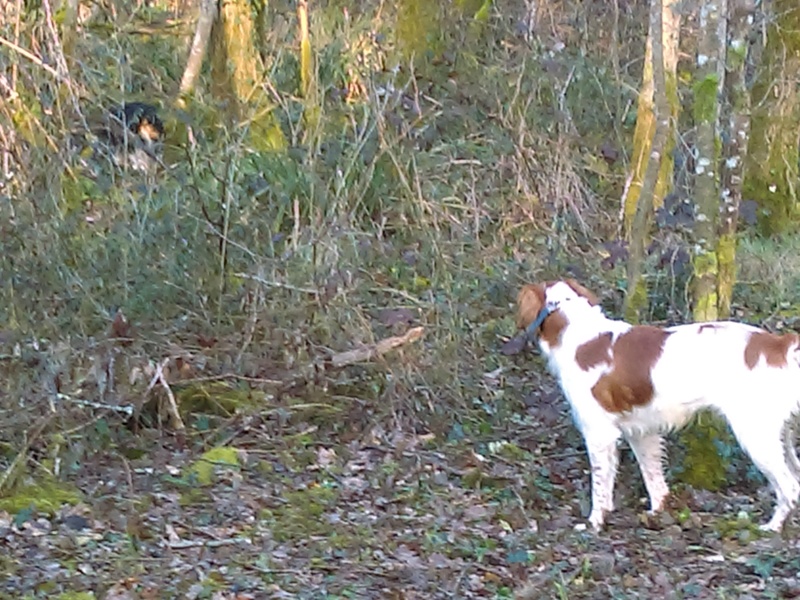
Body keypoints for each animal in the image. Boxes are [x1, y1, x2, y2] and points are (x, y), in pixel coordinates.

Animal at [516, 278, 800, 532]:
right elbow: (653, 478)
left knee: (788, 486)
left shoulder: (598, 433)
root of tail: (777, 344)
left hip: (755, 435)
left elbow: (600, 485)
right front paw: (656, 514)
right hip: (781, 435)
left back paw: (772, 527)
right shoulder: (641, 431)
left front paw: (594, 522)